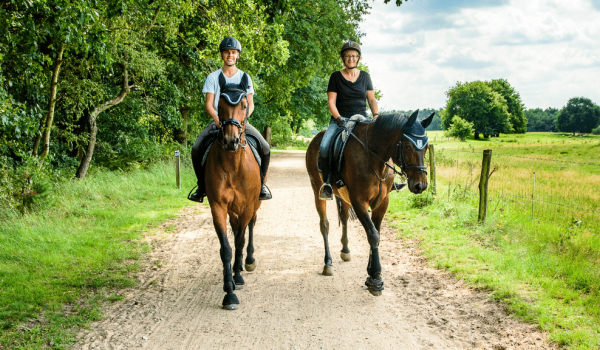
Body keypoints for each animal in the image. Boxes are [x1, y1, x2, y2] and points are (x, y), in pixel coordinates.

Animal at [205, 82, 262, 308]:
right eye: (219, 105)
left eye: (244, 105)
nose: (231, 140)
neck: (233, 165)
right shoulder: (218, 206)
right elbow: (227, 248)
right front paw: (229, 290)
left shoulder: (247, 206)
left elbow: (239, 241)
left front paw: (237, 276)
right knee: (237, 227)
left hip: (255, 205)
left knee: (250, 227)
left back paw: (248, 261)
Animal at [304, 110, 432, 296]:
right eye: (408, 146)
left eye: (426, 146)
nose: (420, 185)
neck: (374, 156)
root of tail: (315, 139)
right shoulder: (359, 201)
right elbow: (372, 235)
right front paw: (376, 279)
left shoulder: (382, 202)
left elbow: (377, 234)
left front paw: (372, 274)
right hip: (317, 189)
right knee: (324, 224)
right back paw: (328, 263)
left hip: (343, 196)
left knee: (343, 218)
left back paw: (345, 251)